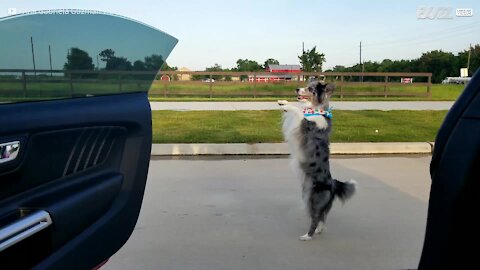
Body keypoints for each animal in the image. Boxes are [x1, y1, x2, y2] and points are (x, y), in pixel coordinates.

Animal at [278, 80, 356, 240]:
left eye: (310, 89)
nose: (296, 88)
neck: (315, 110)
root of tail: (333, 185)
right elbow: (298, 108)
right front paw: (283, 102)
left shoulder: (305, 126)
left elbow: (299, 112)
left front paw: (287, 106)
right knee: (322, 217)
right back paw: (319, 230)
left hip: (313, 200)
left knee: (315, 218)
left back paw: (307, 235)